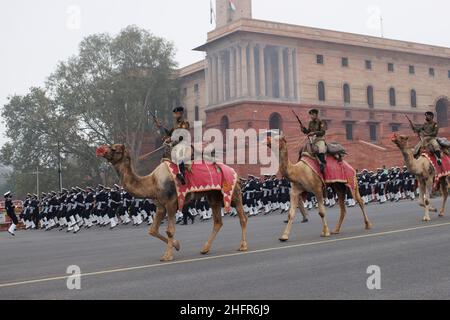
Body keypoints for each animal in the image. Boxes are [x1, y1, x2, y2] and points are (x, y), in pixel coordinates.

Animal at [96, 144, 248, 262]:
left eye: (114, 149)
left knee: (242, 218)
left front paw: (167, 256)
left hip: (233, 192)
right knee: (218, 222)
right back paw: (205, 249)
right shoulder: (160, 206)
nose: (100, 150)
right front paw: (177, 245)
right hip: (213, 196)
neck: (152, 182)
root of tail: (234, 172)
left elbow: (169, 230)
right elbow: (152, 230)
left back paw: (243, 246)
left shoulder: (171, 203)